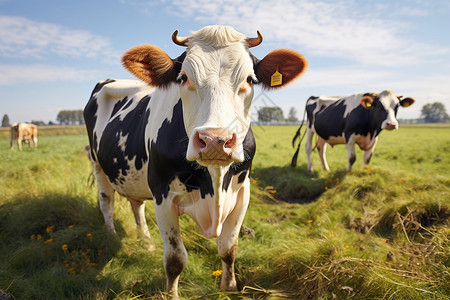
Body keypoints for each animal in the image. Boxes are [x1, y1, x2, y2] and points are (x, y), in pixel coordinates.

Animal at [83, 25, 310, 298]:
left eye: (250, 79)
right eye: (183, 77)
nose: (215, 140)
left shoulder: (242, 192)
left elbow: (228, 247)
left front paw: (229, 287)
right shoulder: (163, 195)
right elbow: (175, 260)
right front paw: (171, 294)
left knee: (136, 204)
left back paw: (146, 242)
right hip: (97, 163)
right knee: (106, 200)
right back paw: (113, 237)